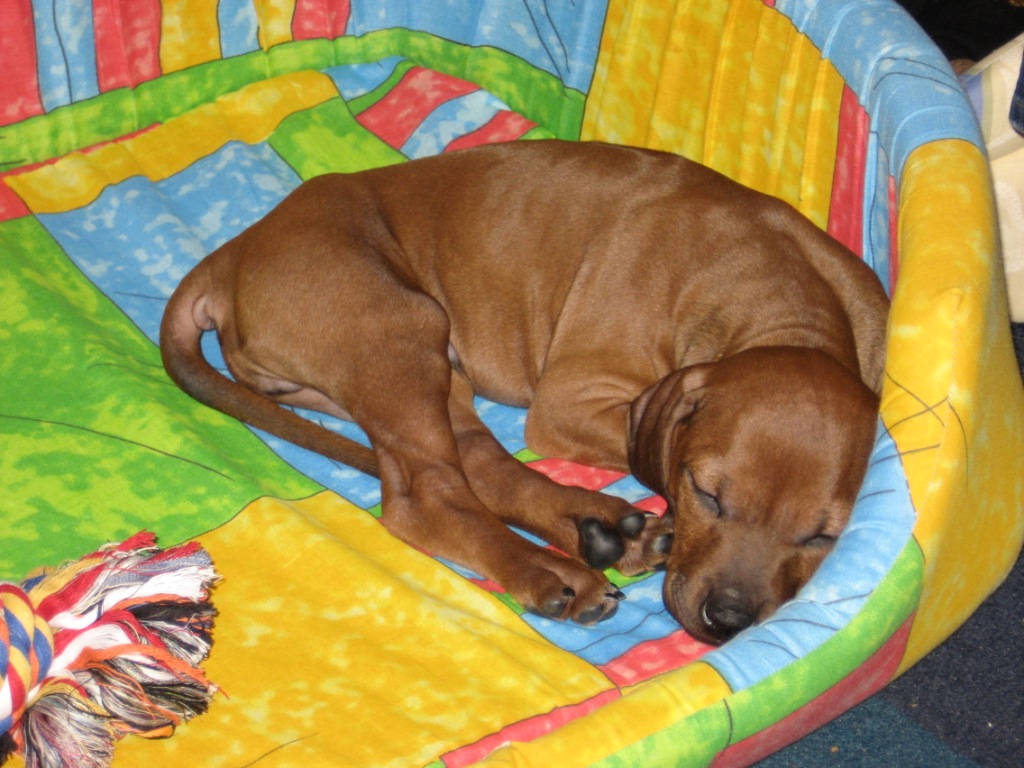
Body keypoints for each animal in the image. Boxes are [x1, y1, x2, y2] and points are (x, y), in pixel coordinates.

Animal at [161, 140, 888, 644]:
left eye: (822, 537)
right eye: (707, 495)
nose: (727, 620)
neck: (774, 293)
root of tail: (231, 253)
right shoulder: (570, 403)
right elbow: (638, 448)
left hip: (431, 365)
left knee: (483, 470)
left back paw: (607, 532)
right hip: (399, 329)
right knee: (428, 497)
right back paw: (556, 571)